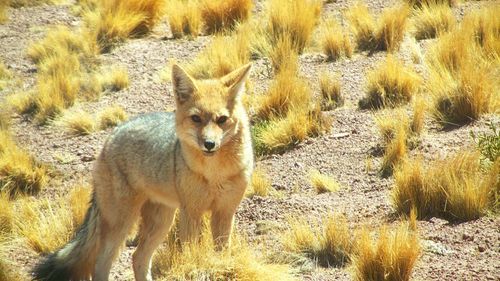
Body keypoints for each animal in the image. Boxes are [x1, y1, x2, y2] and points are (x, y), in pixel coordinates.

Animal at [32, 62, 254, 278]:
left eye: (221, 119)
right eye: (196, 119)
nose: (209, 144)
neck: (215, 173)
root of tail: (111, 136)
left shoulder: (225, 211)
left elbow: (222, 253)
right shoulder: (191, 212)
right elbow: (192, 254)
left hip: (161, 221)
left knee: (138, 257)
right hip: (122, 222)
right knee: (101, 262)